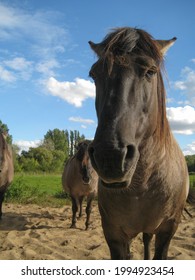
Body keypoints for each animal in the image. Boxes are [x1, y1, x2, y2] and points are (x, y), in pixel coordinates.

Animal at [88, 27, 192, 260]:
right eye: (94, 75)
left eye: (150, 72)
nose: (110, 157)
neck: (141, 186)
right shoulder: (114, 235)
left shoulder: (167, 231)